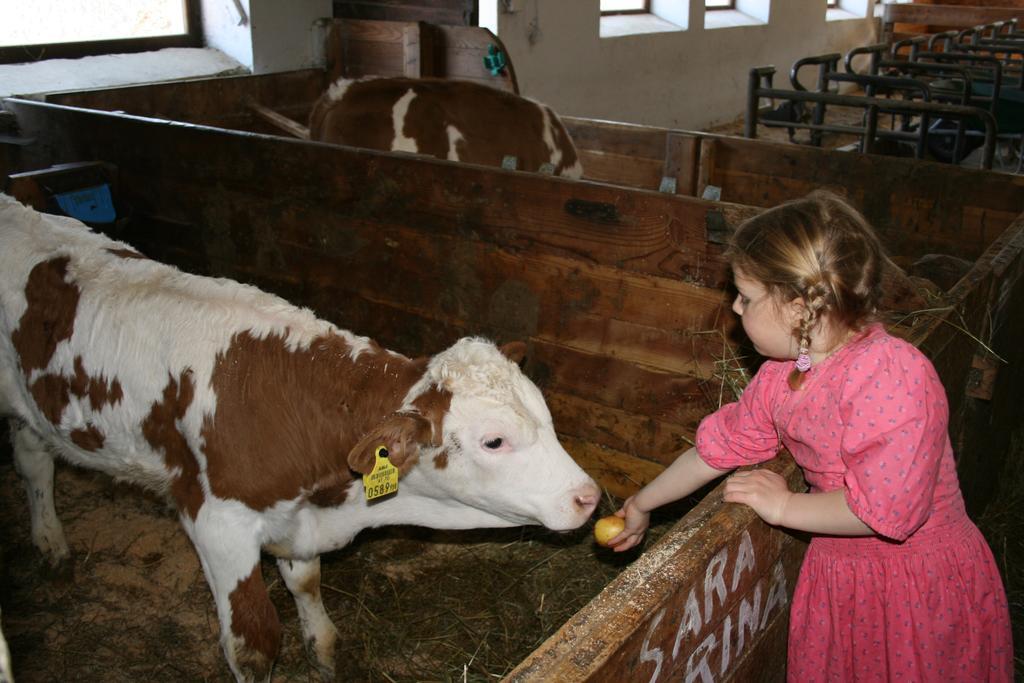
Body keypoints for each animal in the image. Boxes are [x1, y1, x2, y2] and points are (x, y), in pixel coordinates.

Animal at [0, 194, 598, 679]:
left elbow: (306, 583)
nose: (588, 497)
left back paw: (50, 541)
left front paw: (325, 652)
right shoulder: (217, 524)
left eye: (546, 416)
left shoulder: (301, 520)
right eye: (494, 441)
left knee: (32, 459)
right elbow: (254, 647)